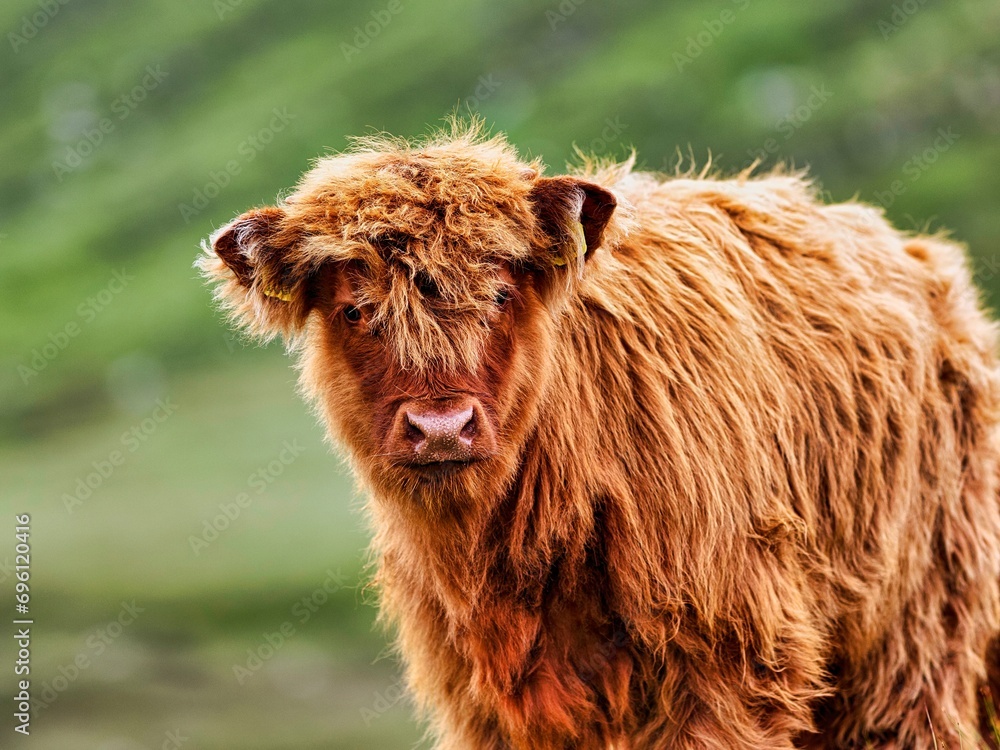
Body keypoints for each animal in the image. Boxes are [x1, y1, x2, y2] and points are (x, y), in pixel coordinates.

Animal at [199, 123, 1000, 749]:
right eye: (356, 309)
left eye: (500, 293)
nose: (441, 426)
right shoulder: (489, 705)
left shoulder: (729, 659)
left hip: (913, 634)